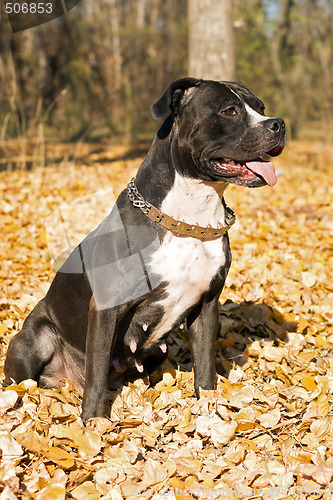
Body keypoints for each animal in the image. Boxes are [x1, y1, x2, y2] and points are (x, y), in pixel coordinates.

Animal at [3, 78, 286, 422]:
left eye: (260, 107)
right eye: (229, 111)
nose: (278, 124)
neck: (189, 217)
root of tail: (66, 381)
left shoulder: (207, 304)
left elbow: (205, 365)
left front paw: (206, 408)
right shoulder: (106, 308)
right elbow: (96, 374)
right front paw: (94, 423)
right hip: (36, 339)